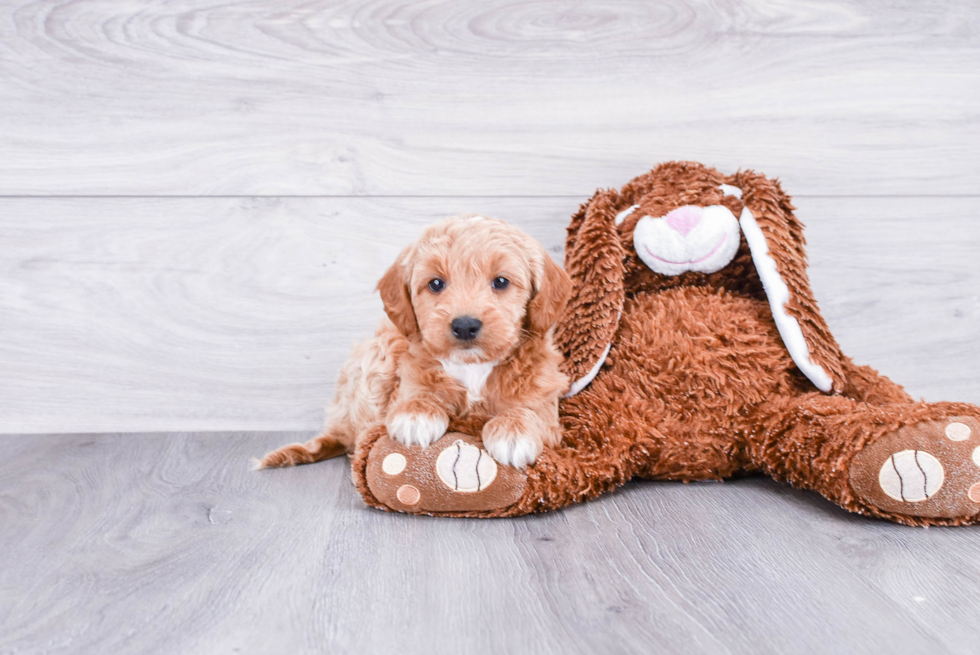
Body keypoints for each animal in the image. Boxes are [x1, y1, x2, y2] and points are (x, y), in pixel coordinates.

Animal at [256, 215, 572, 472]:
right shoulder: (408, 375)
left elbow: (529, 410)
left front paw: (513, 431)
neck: (472, 367)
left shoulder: (545, 399)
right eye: (435, 284)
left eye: (502, 282)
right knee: (352, 434)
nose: (465, 325)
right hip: (379, 353)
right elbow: (417, 393)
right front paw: (416, 414)